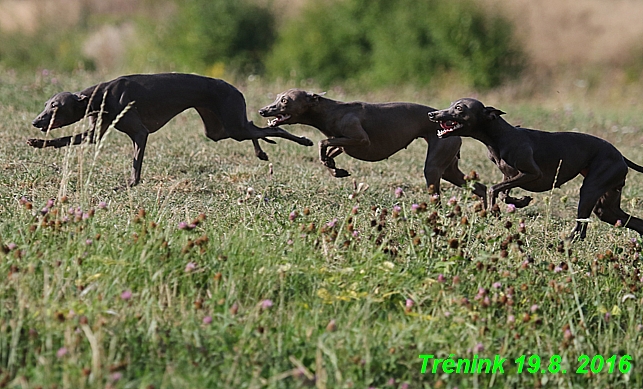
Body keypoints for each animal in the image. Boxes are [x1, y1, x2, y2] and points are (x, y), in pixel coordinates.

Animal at [430, 98, 643, 236]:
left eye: (459, 108)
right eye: (451, 104)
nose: (433, 114)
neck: (500, 136)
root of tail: (620, 155)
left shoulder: (532, 173)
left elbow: (492, 189)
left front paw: (495, 210)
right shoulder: (509, 177)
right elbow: (503, 193)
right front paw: (519, 201)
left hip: (590, 190)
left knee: (581, 230)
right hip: (607, 206)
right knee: (633, 221)